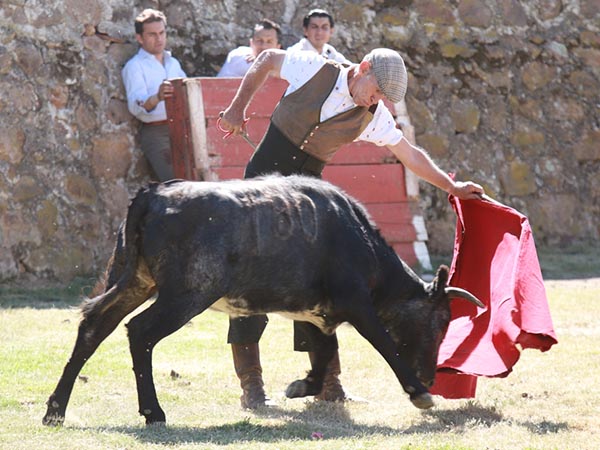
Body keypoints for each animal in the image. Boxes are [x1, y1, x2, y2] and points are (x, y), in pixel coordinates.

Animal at [43, 175, 482, 426]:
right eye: (441, 321)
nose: (430, 377)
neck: (358, 239)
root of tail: (153, 193)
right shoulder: (357, 304)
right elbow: (384, 344)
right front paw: (418, 393)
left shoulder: (316, 314)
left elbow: (324, 356)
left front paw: (300, 387)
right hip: (187, 294)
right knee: (140, 332)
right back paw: (153, 413)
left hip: (134, 280)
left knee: (94, 326)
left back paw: (55, 411)